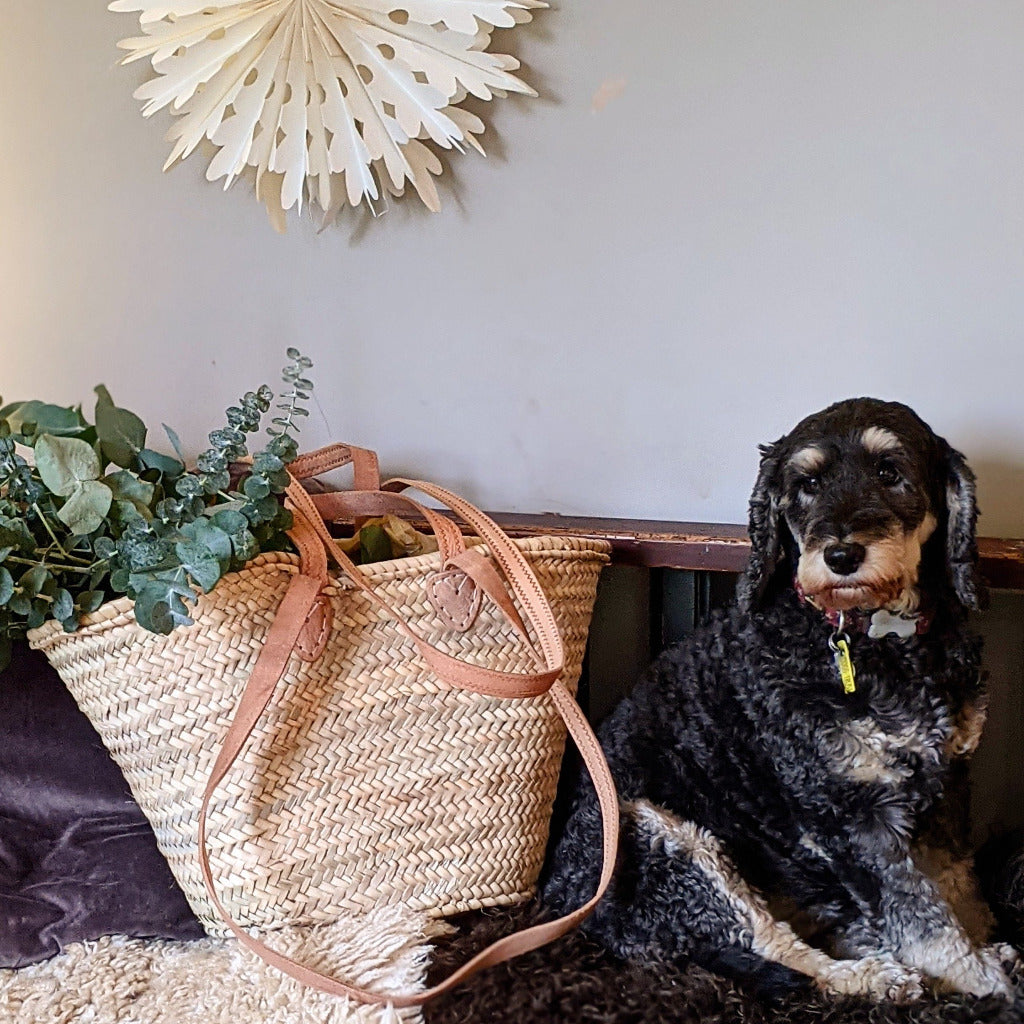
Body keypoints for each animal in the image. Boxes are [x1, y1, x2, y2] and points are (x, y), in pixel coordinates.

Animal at [544, 397, 1015, 999]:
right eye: (807, 483)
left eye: (890, 472)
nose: (841, 555)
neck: (877, 643)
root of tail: (564, 900)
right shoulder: (849, 811)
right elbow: (919, 912)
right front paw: (976, 978)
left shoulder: (946, 785)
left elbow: (957, 884)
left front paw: (982, 944)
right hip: (663, 838)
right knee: (775, 945)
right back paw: (871, 976)